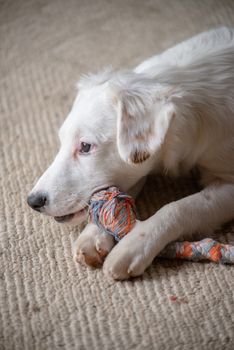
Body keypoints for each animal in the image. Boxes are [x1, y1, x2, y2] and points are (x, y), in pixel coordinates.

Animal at [27, 27, 234, 278]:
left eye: (85, 146)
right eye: (61, 141)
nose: (32, 201)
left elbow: (180, 207)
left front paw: (134, 245)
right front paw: (94, 234)